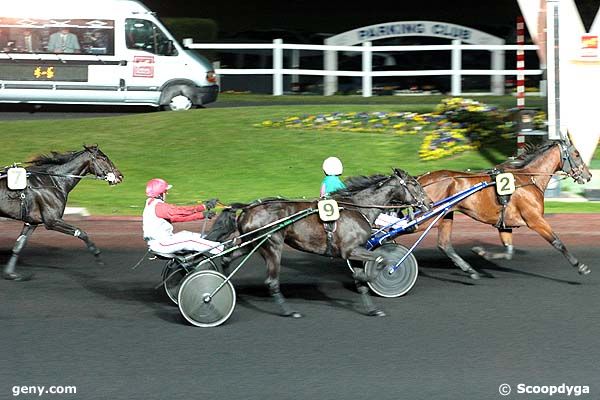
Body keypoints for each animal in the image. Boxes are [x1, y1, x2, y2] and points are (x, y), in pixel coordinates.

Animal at [0, 145, 124, 280]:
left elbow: (19, 245)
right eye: (104, 158)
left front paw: (11, 273)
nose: (120, 176)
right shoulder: (52, 221)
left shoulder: (32, 222)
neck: (54, 181)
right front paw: (97, 255)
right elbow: (81, 232)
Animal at [211, 169, 432, 318]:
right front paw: (374, 276)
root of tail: (248, 207)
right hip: (272, 245)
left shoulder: (357, 250)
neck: (357, 207)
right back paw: (289, 311)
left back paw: (225, 284)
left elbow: (363, 282)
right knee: (271, 281)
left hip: (252, 243)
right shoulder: (349, 250)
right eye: (414, 183)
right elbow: (380, 259)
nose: (429, 203)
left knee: (227, 257)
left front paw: (372, 309)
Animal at [418, 136, 592, 280]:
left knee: (444, 245)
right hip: (427, 217)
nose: (588, 175)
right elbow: (557, 242)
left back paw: (470, 270)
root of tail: (421, 179)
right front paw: (580, 266)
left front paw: (482, 253)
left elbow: (509, 252)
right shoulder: (535, 220)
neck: (529, 179)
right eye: (576, 154)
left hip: (446, 215)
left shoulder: (505, 224)